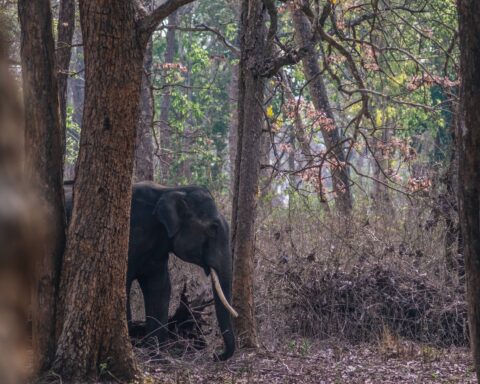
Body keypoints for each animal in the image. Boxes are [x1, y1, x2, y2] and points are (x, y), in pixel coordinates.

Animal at [63, 180, 236, 360]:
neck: (171, 190)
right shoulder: (129, 237)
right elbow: (124, 285)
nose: (216, 355)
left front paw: (157, 353)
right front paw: (134, 344)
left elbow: (160, 287)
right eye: (213, 228)